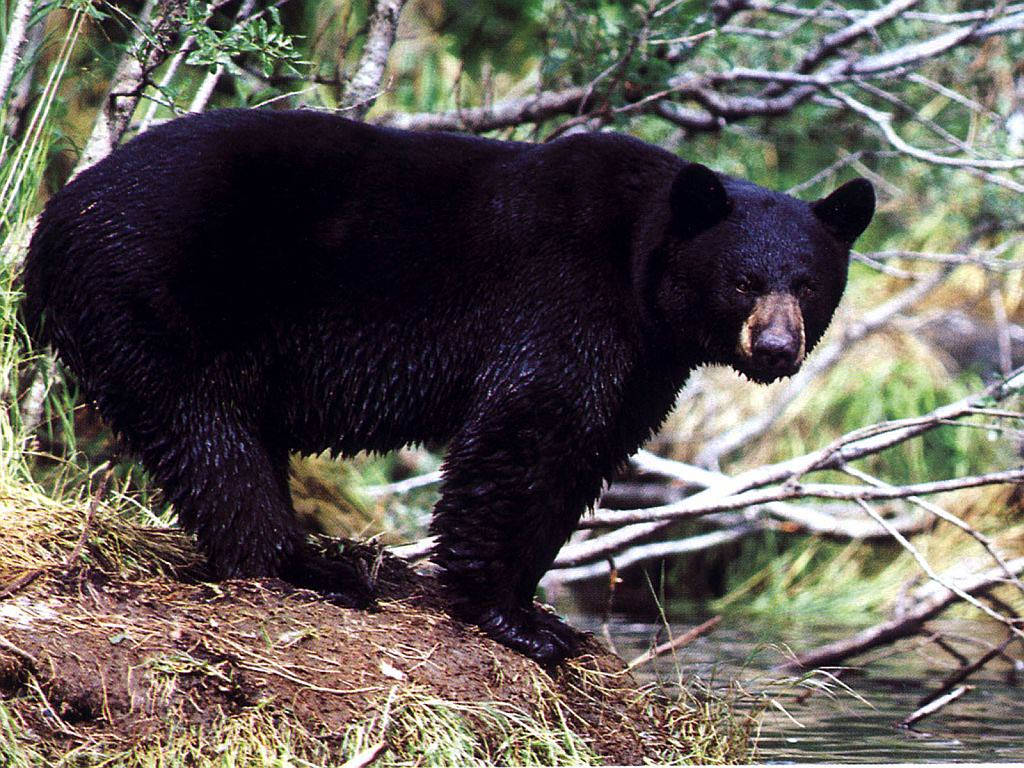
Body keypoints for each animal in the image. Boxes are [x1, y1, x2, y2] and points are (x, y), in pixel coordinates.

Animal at [19, 107, 872, 663]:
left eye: (808, 283)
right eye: (742, 281)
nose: (775, 346)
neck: (639, 262)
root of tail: (52, 222)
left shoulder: (643, 361)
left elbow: (586, 453)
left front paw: (536, 602)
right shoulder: (562, 300)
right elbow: (528, 430)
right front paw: (514, 616)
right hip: (160, 294)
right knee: (208, 433)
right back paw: (307, 567)